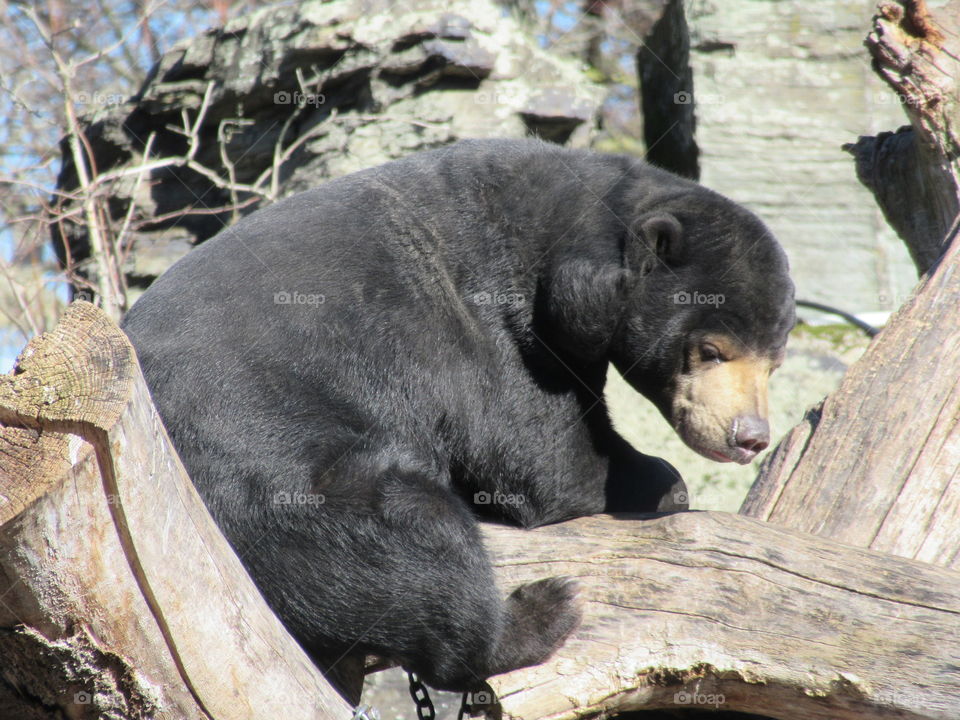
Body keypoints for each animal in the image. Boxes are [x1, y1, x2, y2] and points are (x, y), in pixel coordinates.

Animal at [122, 135, 796, 692]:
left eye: (776, 361)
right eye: (711, 349)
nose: (750, 437)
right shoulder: (491, 320)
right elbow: (538, 453)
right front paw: (659, 482)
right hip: (276, 478)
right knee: (410, 535)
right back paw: (541, 613)